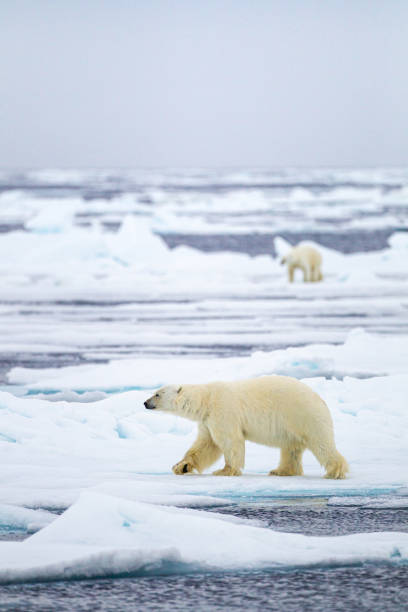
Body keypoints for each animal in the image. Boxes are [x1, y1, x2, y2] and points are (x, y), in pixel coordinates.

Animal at [143, 376, 348, 480]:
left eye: (157, 394)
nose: (145, 402)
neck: (206, 399)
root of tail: (321, 400)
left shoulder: (223, 411)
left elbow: (230, 442)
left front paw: (225, 471)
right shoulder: (207, 420)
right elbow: (205, 445)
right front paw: (181, 466)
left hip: (305, 416)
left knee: (321, 443)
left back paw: (335, 471)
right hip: (293, 426)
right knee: (291, 449)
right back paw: (280, 471)